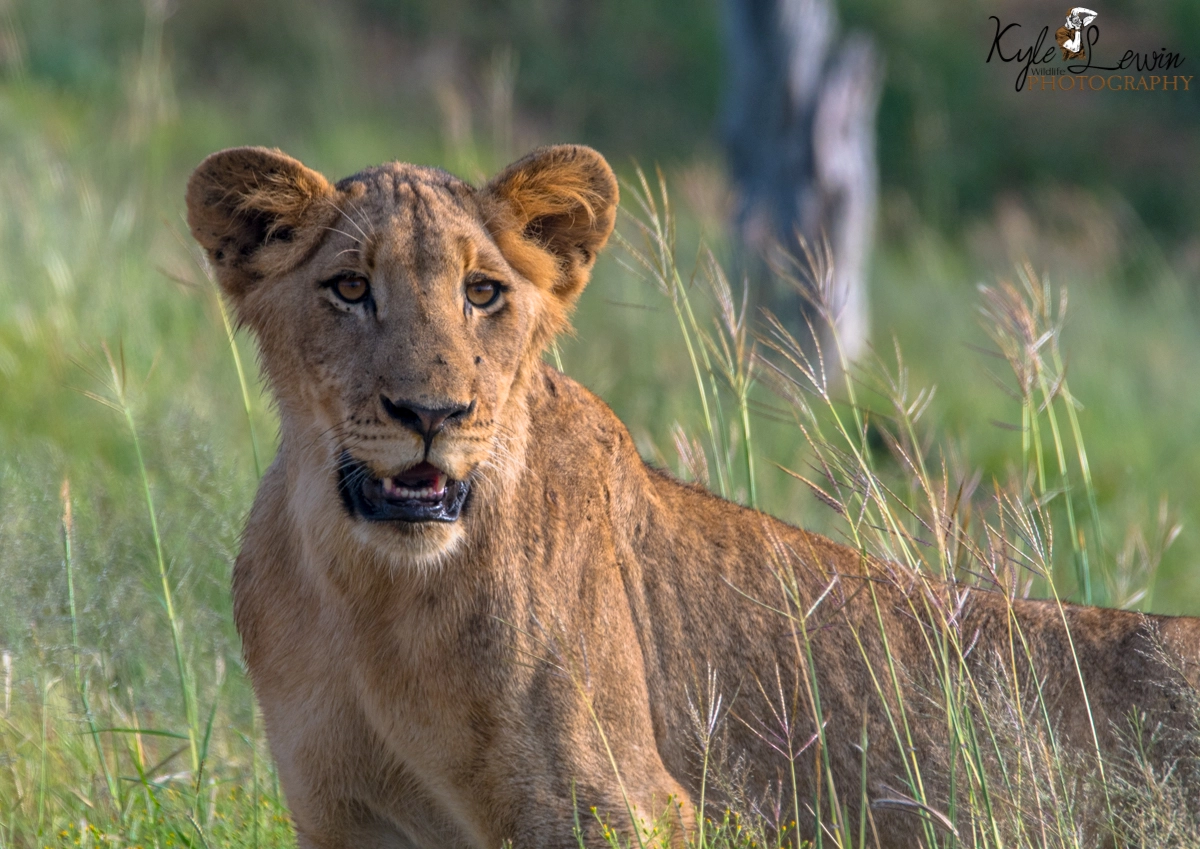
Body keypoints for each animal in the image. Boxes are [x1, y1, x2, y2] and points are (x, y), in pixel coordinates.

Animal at [184, 142, 1200, 844]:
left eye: (482, 293)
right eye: (350, 287)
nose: (433, 412)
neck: (372, 598)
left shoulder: (621, 806)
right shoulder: (346, 815)